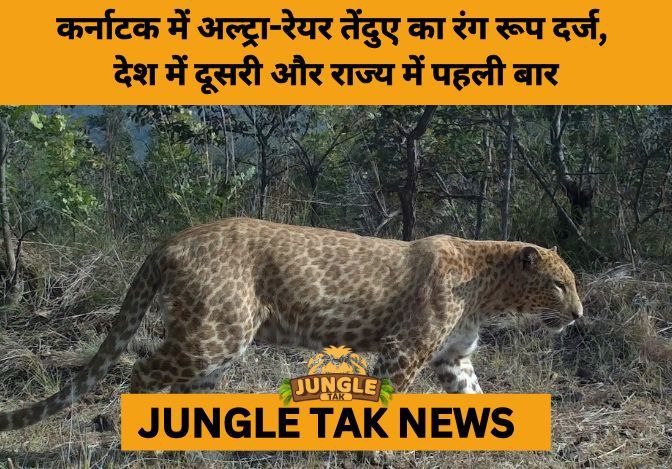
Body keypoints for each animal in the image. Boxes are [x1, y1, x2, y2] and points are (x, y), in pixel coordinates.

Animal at [0, 217, 583, 431]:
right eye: (560, 285)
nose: (579, 315)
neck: (486, 290)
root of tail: (173, 240)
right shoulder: (404, 348)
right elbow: (385, 401)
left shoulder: (452, 358)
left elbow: (475, 395)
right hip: (215, 333)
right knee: (142, 372)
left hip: (216, 346)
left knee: (187, 388)